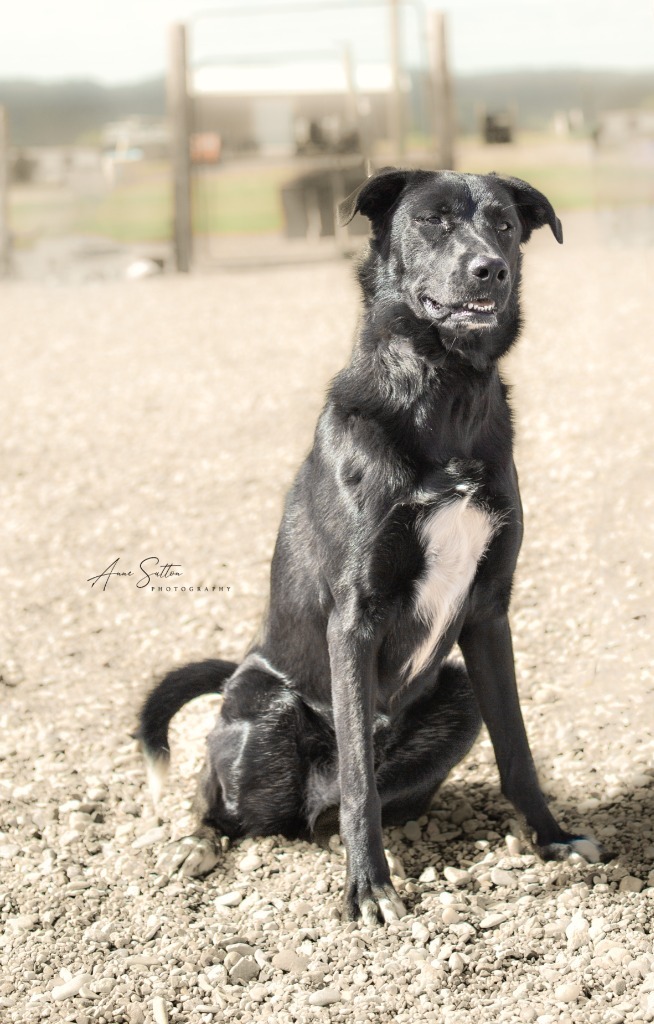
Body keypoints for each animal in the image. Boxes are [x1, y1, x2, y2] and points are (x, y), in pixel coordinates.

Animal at [141, 169, 605, 929]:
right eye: (432, 220)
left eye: (505, 224)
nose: (491, 269)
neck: (444, 390)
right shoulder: (354, 617)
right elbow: (359, 776)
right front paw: (367, 887)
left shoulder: (488, 613)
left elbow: (518, 751)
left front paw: (551, 837)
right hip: (266, 702)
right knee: (223, 790)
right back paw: (199, 841)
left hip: (455, 694)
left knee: (334, 808)